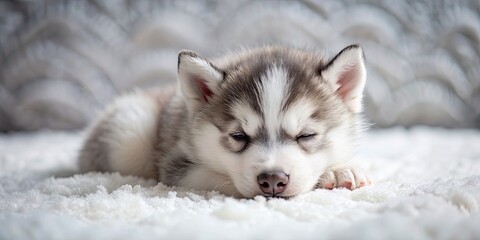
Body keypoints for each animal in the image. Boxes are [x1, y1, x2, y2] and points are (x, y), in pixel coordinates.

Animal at [79, 44, 372, 198]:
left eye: (306, 136)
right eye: (239, 136)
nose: (272, 180)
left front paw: (341, 170)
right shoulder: (177, 166)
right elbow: (220, 178)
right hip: (128, 134)